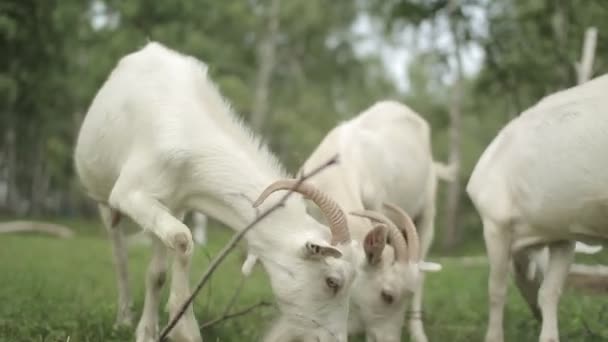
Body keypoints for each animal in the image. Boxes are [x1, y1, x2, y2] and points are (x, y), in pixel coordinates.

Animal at [77, 42, 360, 342]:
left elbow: (158, 272)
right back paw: (122, 319)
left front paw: (149, 333)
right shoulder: (131, 193)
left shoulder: (174, 204)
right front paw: (184, 330)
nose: (338, 340)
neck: (189, 132)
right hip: (105, 201)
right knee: (119, 255)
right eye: (332, 281)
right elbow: (182, 238)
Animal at [466, 73, 608, 342]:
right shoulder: (562, 230)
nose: (536, 315)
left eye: (525, 271)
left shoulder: (495, 219)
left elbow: (500, 289)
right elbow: (547, 290)